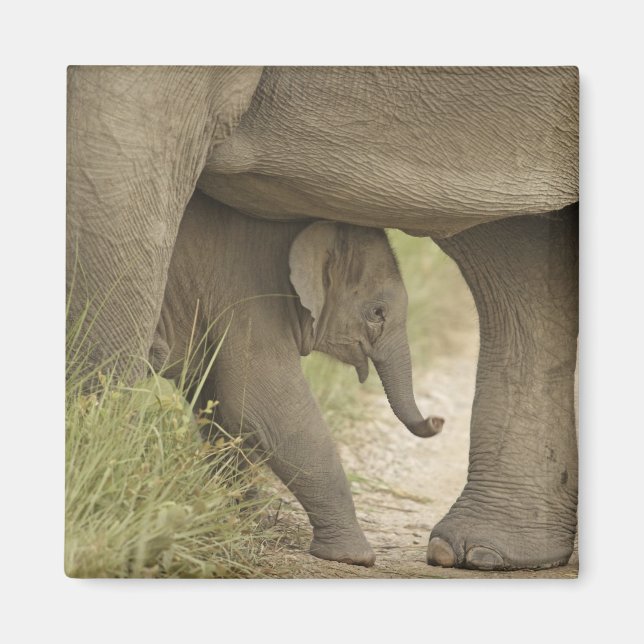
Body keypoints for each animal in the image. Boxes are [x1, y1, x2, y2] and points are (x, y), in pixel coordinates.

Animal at [152, 189, 443, 566]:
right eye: (377, 313)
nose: (437, 420)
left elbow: (218, 407)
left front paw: (243, 522)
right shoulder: (251, 296)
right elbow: (263, 406)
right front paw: (355, 557)